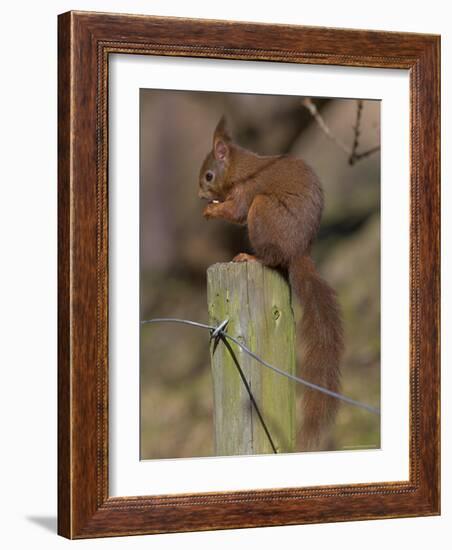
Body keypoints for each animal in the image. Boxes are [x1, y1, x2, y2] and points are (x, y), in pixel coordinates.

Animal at [198, 117, 342, 452]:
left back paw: (250, 256)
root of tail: (298, 251)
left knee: (271, 257)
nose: (199, 194)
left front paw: (211, 209)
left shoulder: (247, 191)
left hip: (262, 209)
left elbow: (235, 211)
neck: (239, 168)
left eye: (209, 175)